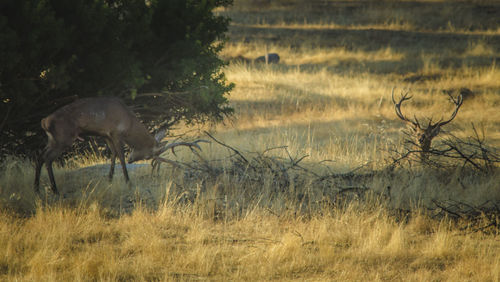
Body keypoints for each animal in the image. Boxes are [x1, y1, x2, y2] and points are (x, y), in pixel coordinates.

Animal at [34, 96, 207, 195]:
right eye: (149, 156)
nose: (132, 159)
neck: (128, 123)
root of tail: (43, 122)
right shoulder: (116, 132)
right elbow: (121, 156)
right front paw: (127, 181)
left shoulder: (107, 135)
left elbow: (113, 154)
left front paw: (109, 178)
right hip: (63, 138)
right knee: (47, 158)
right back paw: (54, 189)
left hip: (53, 140)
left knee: (40, 155)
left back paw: (37, 189)